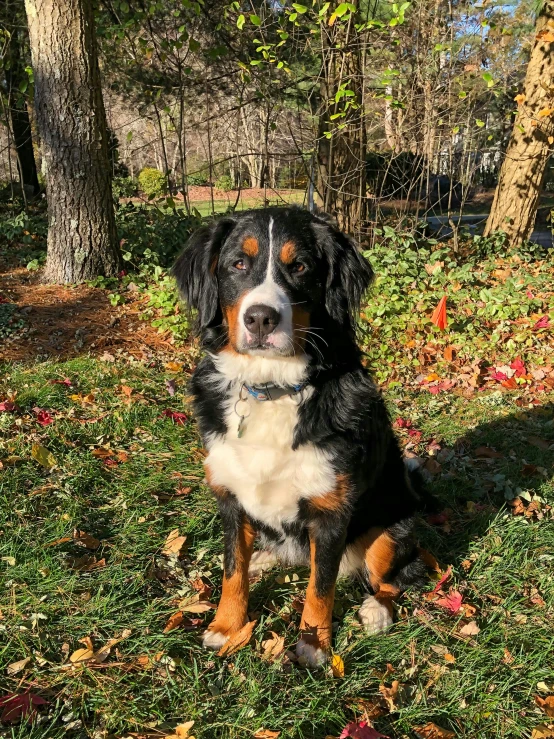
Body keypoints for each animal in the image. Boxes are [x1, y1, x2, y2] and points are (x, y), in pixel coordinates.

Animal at [175, 205, 430, 668]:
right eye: (237, 264)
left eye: (300, 267)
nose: (260, 318)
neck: (272, 388)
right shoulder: (230, 497)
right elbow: (232, 570)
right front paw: (226, 626)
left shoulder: (330, 512)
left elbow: (320, 586)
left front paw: (313, 645)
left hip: (391, 528)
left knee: (397, 576)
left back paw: (377, 610)